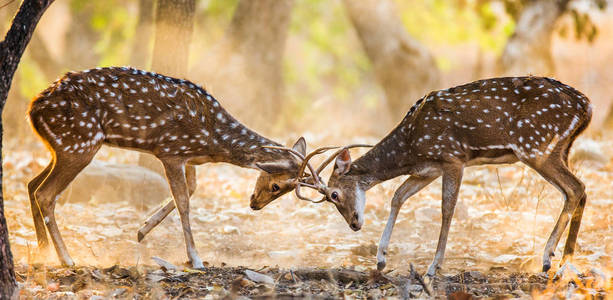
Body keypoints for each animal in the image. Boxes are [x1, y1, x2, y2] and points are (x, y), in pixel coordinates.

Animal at [27, 67, 326, 268]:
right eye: (276, 186)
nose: (254, 205)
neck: (214, 142)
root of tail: (32, 110)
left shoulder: (189, 157)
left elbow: (191, 189)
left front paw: (142, 229)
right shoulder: (170, 151)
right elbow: (183, 200)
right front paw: (195, 259)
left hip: (62, 147)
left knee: (31, 184)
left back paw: (42, 250)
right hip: (80, 143)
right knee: (46, 193)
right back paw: (66, 258)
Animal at [296, 76, 592, 276]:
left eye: (334, 194)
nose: (354, 224)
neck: (410, 146)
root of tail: (586, 107)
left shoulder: (452, 157)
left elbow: (447, 208)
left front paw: (433, 266)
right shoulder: (427, 169)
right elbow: (397, 196)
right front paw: (380, 260)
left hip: (536, 146)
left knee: (576, 187)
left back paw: (548, 258)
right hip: (560, 149)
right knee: (581, 191)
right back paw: (566, 260)